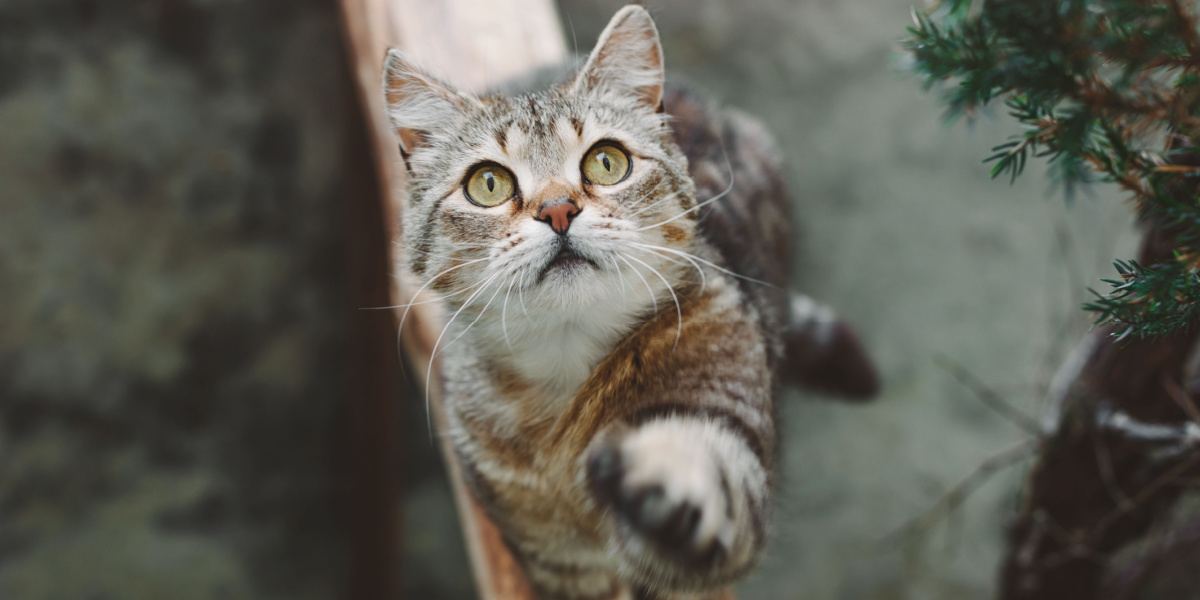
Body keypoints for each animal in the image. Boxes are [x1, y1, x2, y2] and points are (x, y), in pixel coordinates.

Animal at [384, 5, 883, 600]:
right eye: (488, 183)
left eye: (606, 162)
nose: (557, 209)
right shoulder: (560, 562)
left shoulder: (722, 402)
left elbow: (710, 481)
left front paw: (665, 477)